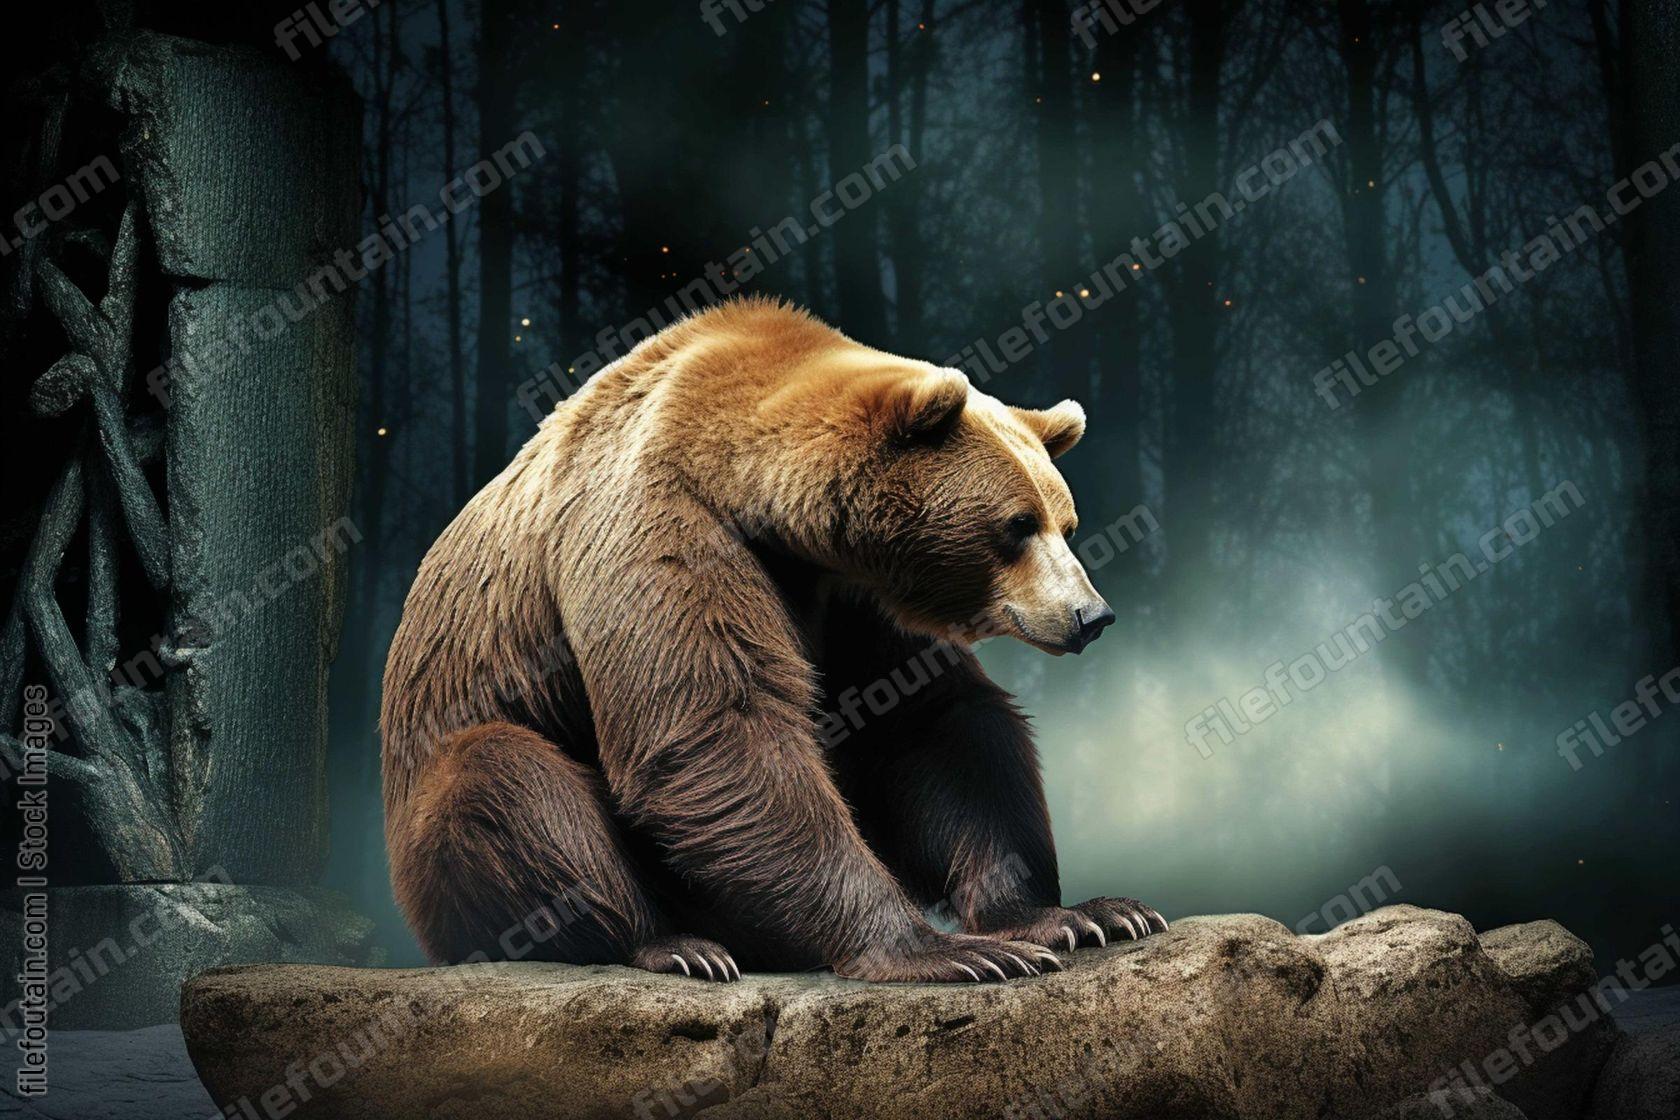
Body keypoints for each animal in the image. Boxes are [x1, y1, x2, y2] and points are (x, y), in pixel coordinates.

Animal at [381, 297, 1166, 983]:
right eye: (1016, 526)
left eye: (1065, 523)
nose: (1090, 616)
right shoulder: (660, 523)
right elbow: (720, 730)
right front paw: (943, 950)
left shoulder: (844, 591)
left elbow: (928, 724)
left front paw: (1073, 916)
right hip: (440, 819)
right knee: (500, 777)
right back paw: (672, 944)